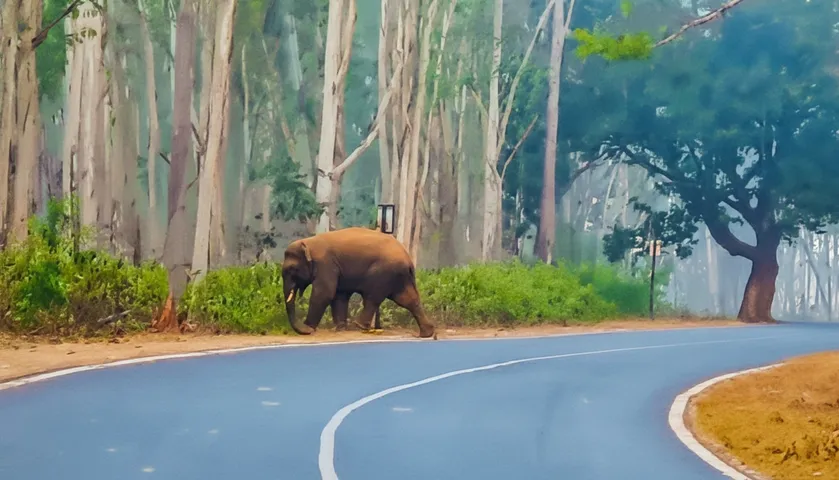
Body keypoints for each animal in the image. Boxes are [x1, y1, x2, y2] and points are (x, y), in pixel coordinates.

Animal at [281, 227, 436, 338]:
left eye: (292, 269)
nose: (304, 329)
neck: (308, 243)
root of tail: (408, 258)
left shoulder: (325, 264)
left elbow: (324, 293)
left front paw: (308, 328)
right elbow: (339, 295)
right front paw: (340, 329)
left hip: (384, 272)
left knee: (372, 297)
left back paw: (359, 325)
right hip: (399, 276)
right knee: (407, 299)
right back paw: (426, 333)